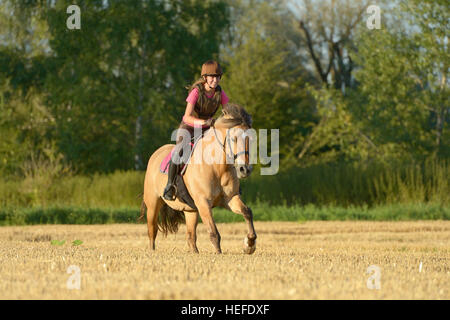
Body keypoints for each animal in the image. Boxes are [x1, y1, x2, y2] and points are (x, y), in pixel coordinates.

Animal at [139, 104, 256, 255]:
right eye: (233, 139)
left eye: (251, 139)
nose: (245, 169)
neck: (217, 167)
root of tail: (155, 154)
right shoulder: (203, 203)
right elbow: (214, 233)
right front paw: (219, 254)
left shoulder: (230, 198)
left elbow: (247, 212)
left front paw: (249, 244)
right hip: (153, 203)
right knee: (152, 230)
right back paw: (152, 251)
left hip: (191, 210)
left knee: (191, 236)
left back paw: (195, 253)